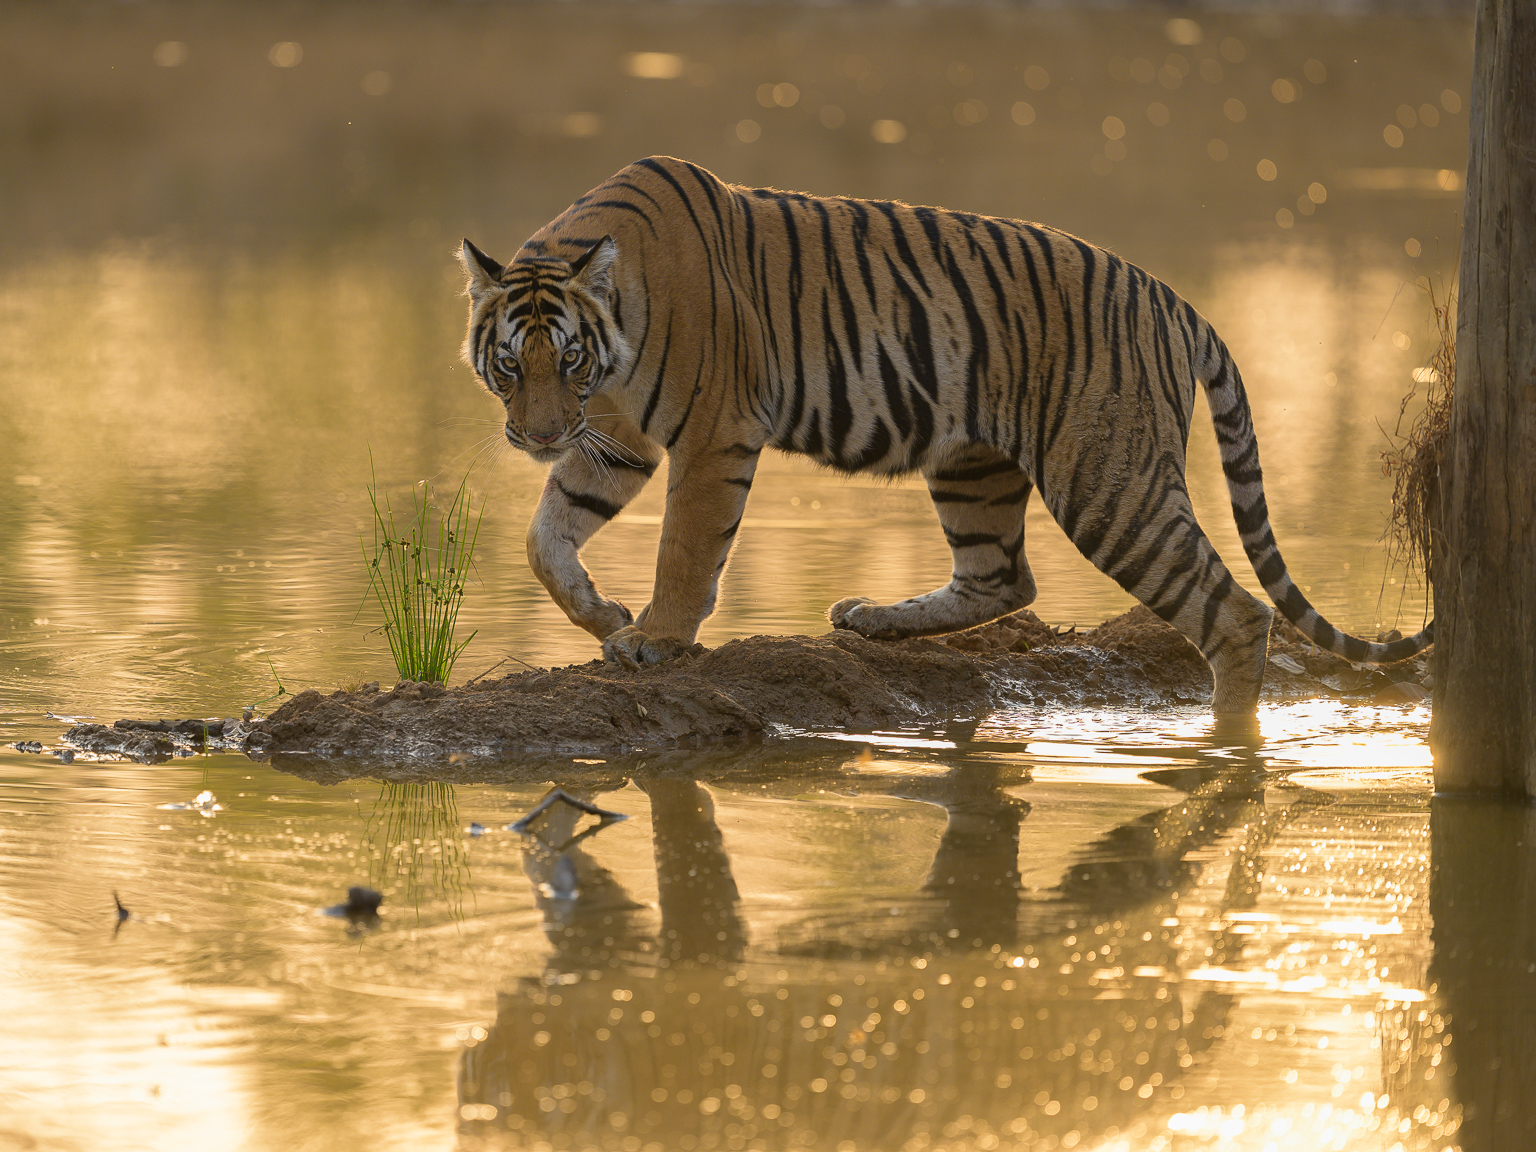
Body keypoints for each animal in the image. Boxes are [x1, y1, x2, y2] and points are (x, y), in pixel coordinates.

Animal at [459, 155, 1432, 717]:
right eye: (510, 364)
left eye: (568, 359)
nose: (539, 435)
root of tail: (1169, 297)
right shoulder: (615, 439)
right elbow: (546, 537)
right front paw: (601, 614)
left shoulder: (711, 436)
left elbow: (685, 551)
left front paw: (653, 636)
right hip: (974, 463)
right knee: (1002, 578)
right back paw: (876, 619)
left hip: (1108, 483)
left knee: (1236, 612)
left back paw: (1231, 745)